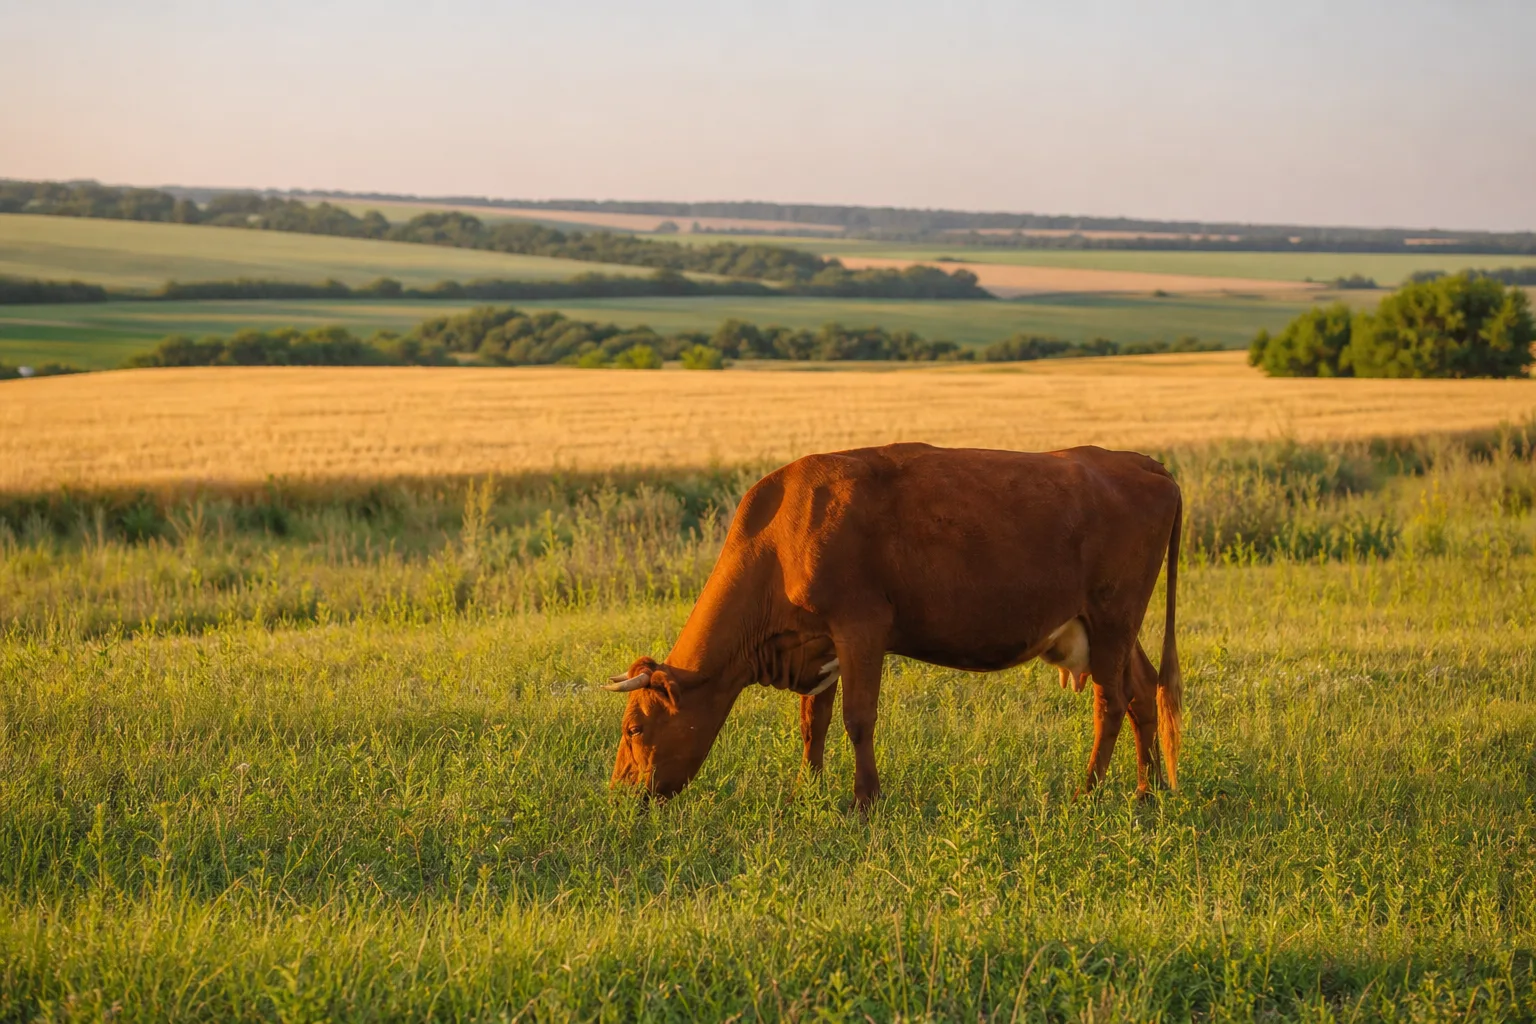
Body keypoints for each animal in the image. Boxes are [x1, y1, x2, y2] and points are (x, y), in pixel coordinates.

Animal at [603, 442, 1183, 808]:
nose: (618, 793)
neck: (781, 536)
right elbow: (813, 722)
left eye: (634, 728)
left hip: (1112, 616)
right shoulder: (818, 643)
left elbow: (858, 718)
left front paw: (865, 800)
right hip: (1108, 628)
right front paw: (806, 791)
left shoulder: (861, 626)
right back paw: (1148, 790)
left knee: (1110, 702)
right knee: (1142, 691)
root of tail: (1142, 463)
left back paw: (1089, 792)